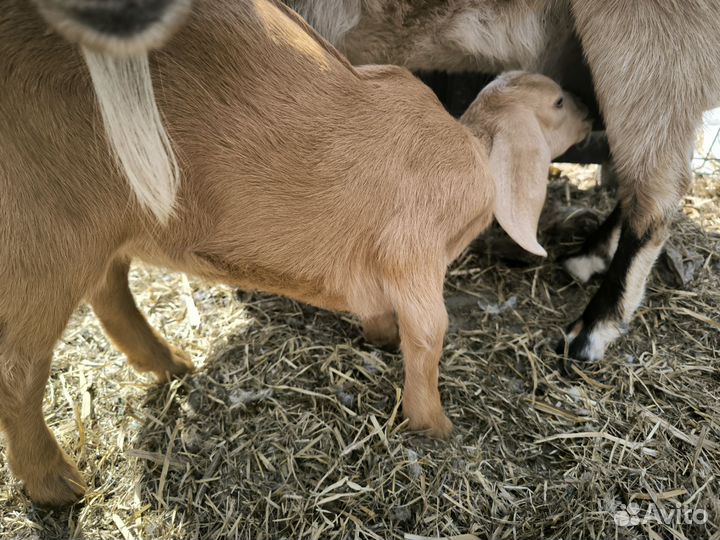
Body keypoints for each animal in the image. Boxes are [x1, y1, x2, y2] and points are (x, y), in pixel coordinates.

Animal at [0, 0, 590, 506]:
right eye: (557, 103)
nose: (590, 112)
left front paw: (378, 337)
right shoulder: (415, 254)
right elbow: (429, 334)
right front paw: (435, 426)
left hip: (102, 222)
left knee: (108, 288)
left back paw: (169, 363)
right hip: (45, 233)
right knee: (19, 367)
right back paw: (56, 484)